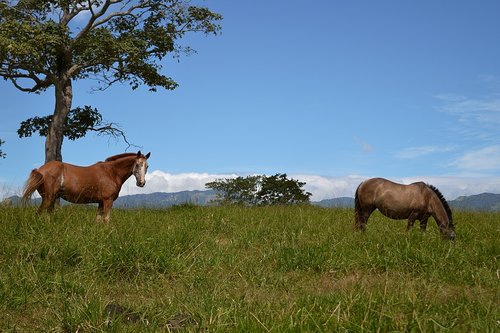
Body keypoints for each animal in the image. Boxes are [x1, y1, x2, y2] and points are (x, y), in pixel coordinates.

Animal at [22, 150, 150, 223]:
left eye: (147, 166)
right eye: (137, 164)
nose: (141, 183)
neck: (111, 172)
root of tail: (40, 170)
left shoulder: (101, 202)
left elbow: (98, 220)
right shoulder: (107, 201)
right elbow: (106, 219)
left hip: (51, 198)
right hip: (48, 198)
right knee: (39, 213)